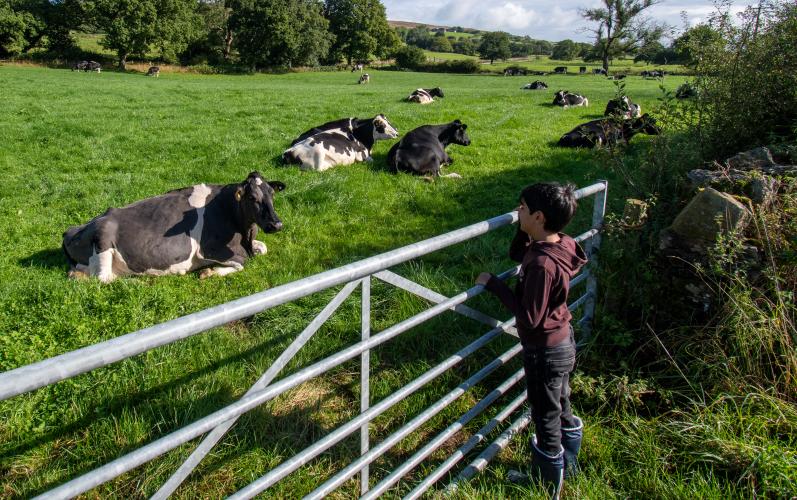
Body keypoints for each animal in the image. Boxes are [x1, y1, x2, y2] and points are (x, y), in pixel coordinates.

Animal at [63, 171, 284, 282]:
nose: (277, 224)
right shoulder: (209, 250)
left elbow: (262, 248)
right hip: (103, 237)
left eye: (272, 194)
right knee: (104, 277)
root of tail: (70, 230)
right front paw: (208, 272)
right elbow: (243, 261)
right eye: (252, 197)